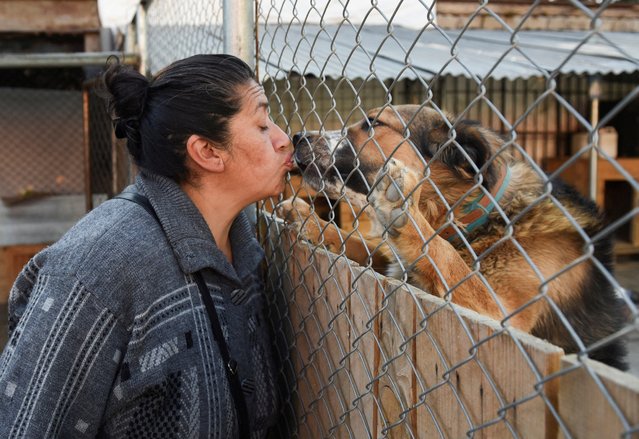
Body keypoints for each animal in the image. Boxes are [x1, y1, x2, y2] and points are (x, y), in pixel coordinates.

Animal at [282, 105, 632, 370]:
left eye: (373, 123)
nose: (297, 137)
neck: (478, 218)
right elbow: (364, 244)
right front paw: (309, 219)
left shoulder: (502, 317)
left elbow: (442, 253)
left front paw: (402, 205)